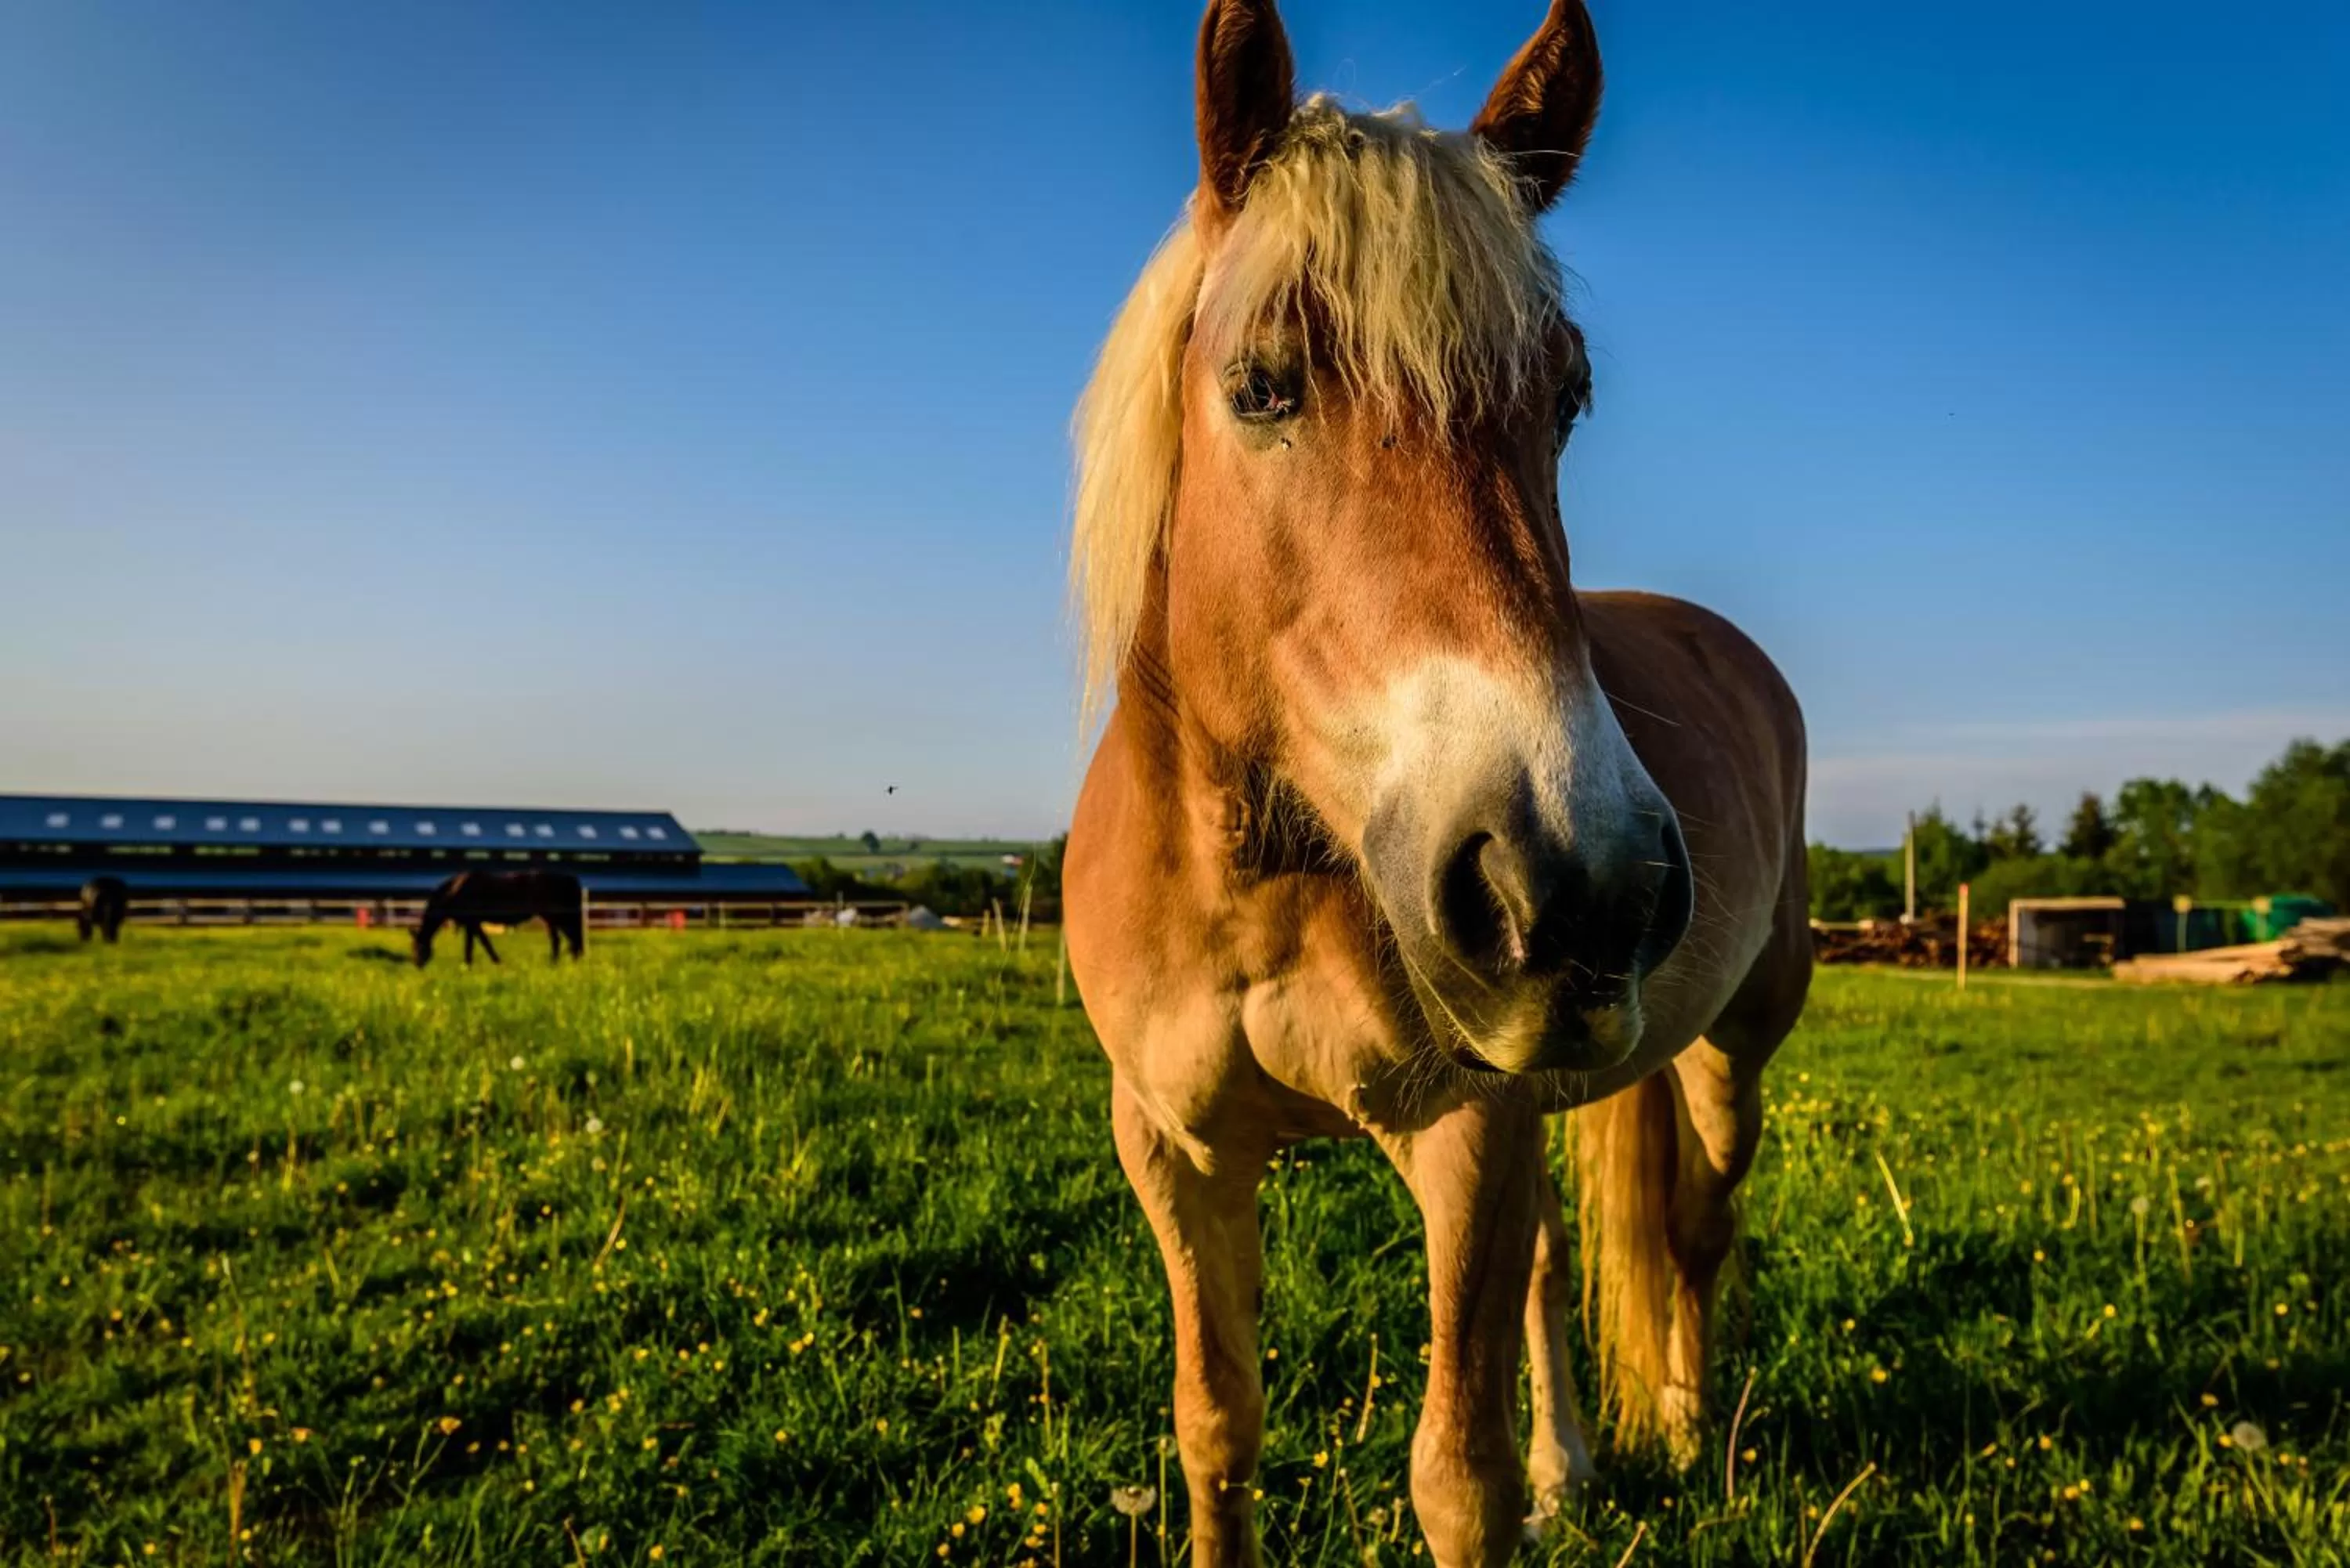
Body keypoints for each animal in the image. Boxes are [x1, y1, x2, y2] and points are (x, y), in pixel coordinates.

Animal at [412, 870, 585, 968]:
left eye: (419, 947)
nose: (418, 965)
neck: (456, 889)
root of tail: (570, 879)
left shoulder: (472, 923)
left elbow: (476, 945)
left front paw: (471, 965)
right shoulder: (473, 924)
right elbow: (480, 943)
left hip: (556, 918)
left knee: (565, 940)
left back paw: (557, 964)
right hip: (555, 919)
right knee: (568, 940)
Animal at [1061, 4, 1811, 1562]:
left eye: (1567, 397)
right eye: (1262, 385)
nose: (1579, 883)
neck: (1252, 886)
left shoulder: (1468, 1134)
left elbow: (1456, 1482)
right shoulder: (1175, 1149)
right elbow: (1217, 1426)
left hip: (1730, 1053)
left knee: (1700, 1228)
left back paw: (1683, 1428)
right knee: (1558, 1268)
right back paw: (1577, 1459)